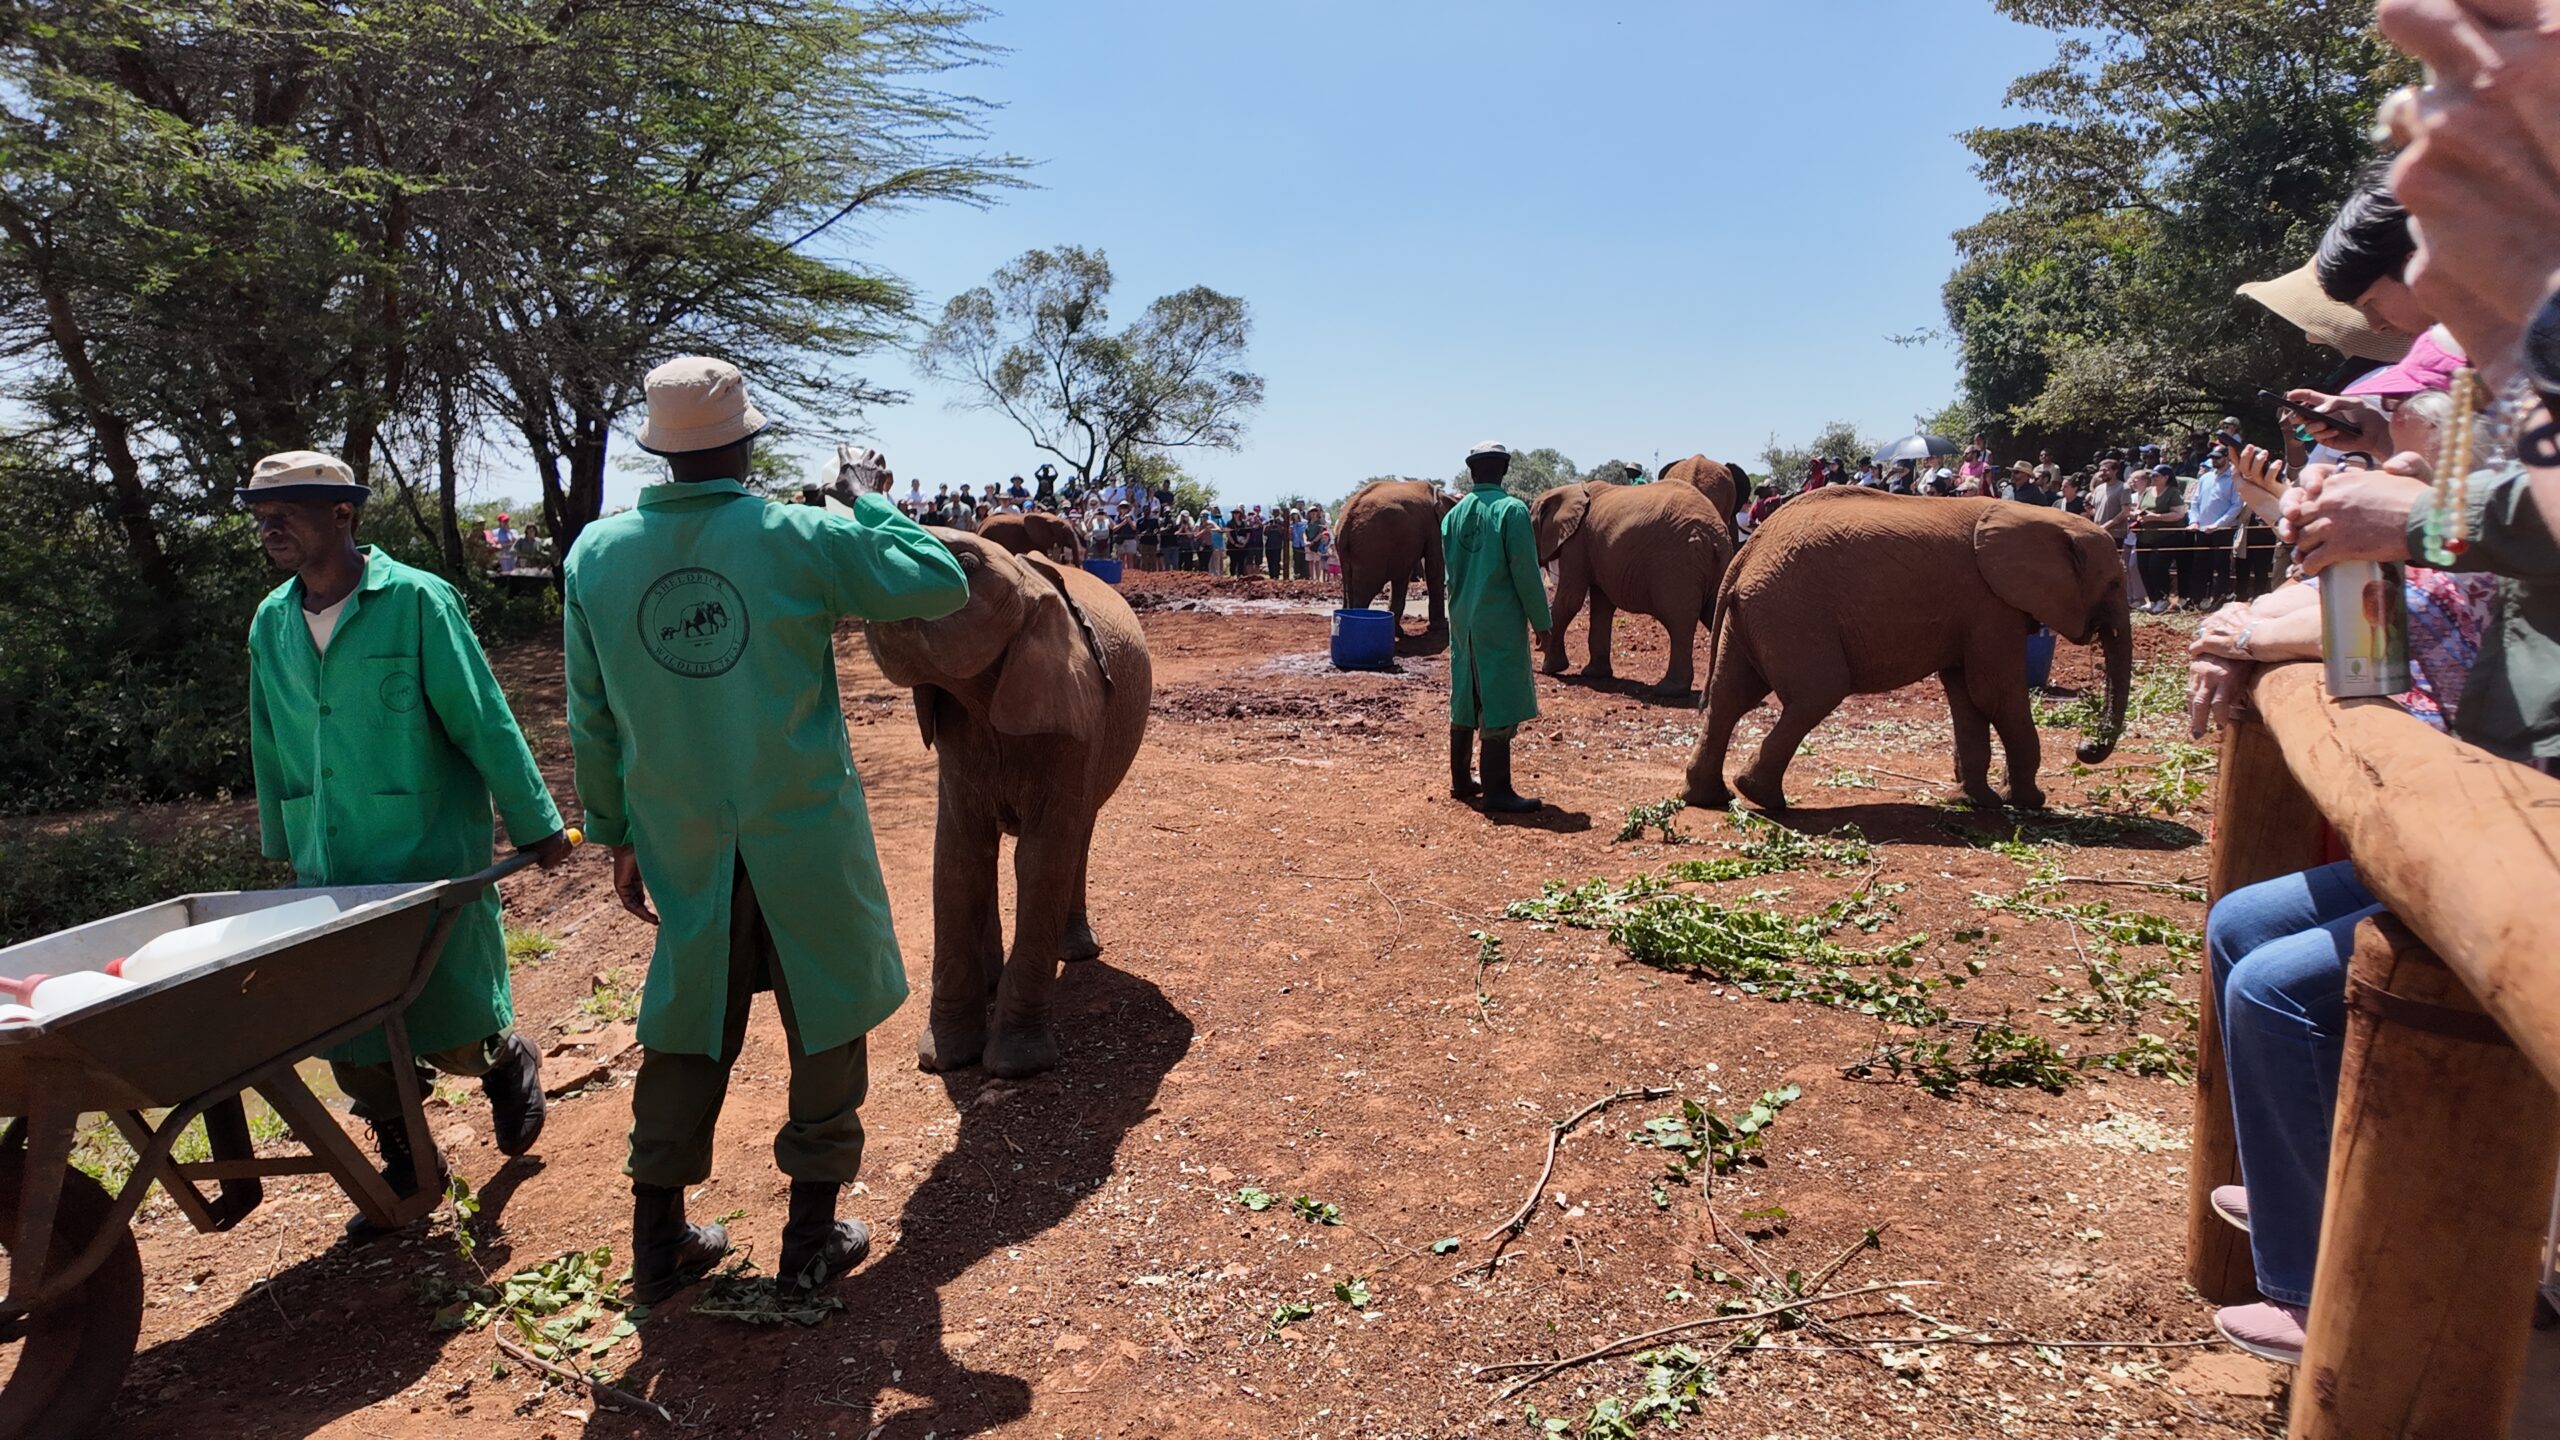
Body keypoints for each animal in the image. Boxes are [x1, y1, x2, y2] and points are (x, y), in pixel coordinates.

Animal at [870, 532, 1152, 1071]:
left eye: (965, 562)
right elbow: (958, 860)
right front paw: (944, 1059)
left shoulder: (1075, 723)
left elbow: (1042, 861)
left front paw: (1017, 1067)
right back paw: (991, 979)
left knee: (1078, 837)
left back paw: (1075, 952)